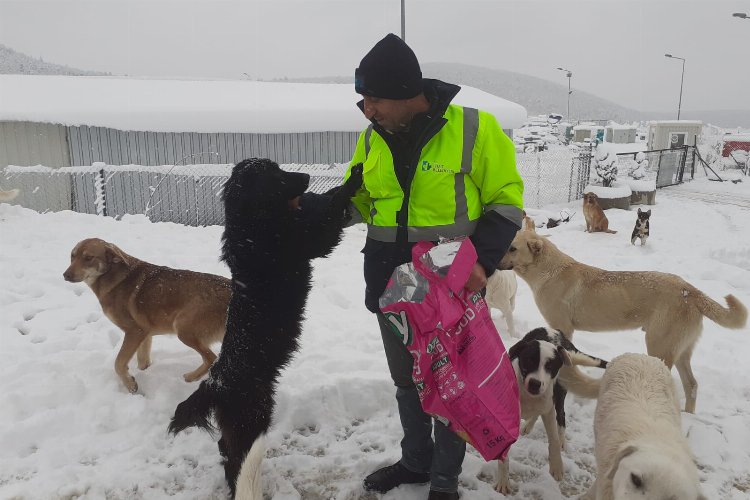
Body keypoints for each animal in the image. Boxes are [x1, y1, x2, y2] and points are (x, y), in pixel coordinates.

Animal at [63, 238, 231, 394]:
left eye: (88, 258)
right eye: (72, 256)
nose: (65, 275)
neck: (112, 276)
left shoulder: (134, 331)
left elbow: (118, 363)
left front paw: (131, 385)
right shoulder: (145, 334)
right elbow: (142, 362)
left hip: (183, 330)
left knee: (211, 358)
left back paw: (190, 377)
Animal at [170, 158, 364, 498]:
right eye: (274, 175)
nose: (306, 175)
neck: (254, 224)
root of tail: (215, 383)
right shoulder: (309, 239)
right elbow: (332, 211)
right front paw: (353, 178)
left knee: (226, 450)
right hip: (252, 419)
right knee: (237, 457)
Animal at [496, 326, 608, 494]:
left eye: (550, 366)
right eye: (529, 360)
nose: (535, 384)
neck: (528, 395)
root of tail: (557, 332)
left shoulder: (548, 409)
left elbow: (553, 440)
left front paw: (557, 466)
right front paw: (503, 479)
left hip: (559, 393)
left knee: (561, 417)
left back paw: (561, 440)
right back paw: (528, 425)